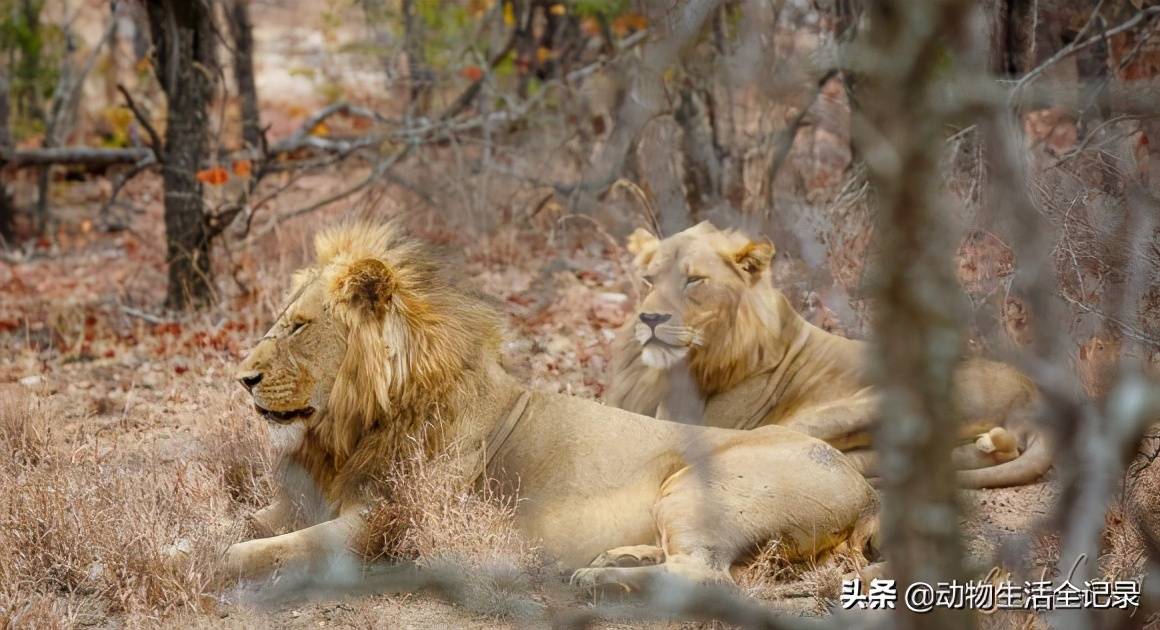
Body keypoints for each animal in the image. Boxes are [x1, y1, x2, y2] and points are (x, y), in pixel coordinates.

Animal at [223, 222, 876, 591]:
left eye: (298, 326)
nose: (243, 378)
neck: (352, 428)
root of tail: (864, 488)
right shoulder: (307, 501)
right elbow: (248, 524)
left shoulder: (387, 525)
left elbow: (271, 550)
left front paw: (216, 563)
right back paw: (619, 558)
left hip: (700, 487)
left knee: (707, 576)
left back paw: (598, 579)